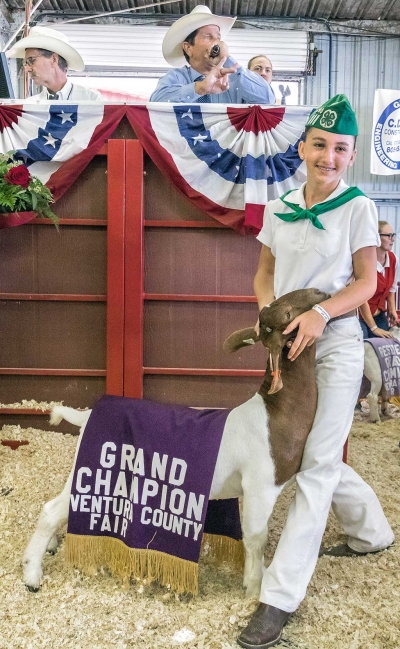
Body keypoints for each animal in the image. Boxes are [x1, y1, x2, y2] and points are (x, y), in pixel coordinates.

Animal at [22, 288, 328, 596]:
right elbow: (256, 538)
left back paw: (48, 548)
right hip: (94, 466)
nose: (320, 291)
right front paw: (254, 588)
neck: (273, 413)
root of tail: (87, 416)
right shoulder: (260, 486)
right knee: (51, 511)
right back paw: (32, 576)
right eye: (287, 313)